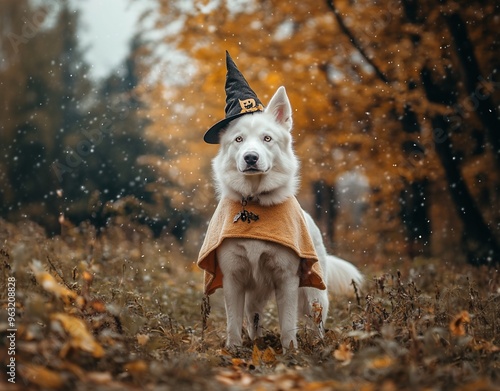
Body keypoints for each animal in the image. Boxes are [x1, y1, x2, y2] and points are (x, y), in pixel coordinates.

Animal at [199, 86, 364, 350]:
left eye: (267, 139)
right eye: (238, 140)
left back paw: (318, 345)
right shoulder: (234, 278)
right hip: (255, 294)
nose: (251, 157)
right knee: (252, 317)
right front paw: (234, 350)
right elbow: (233, 323)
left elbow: (287, 323)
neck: (255, 204)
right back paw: (256, 342)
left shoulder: (287, 278)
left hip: (313, 294)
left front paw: (291, 352)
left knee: (316, 321)